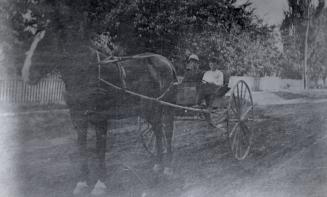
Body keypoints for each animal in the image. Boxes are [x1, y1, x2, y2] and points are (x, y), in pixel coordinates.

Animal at [21, 28, 178, 195]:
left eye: (46, 46)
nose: (25, 75)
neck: (86, 72)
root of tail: (166, 61)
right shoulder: (78, 119)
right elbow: (82, 148)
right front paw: (82, 183)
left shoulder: (100, 118)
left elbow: (99, 150)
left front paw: (100, 184)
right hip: (149, 110)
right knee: (158, 131)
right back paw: (158, 165)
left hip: (161, 108)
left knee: (166, 131)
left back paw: (167, 168)